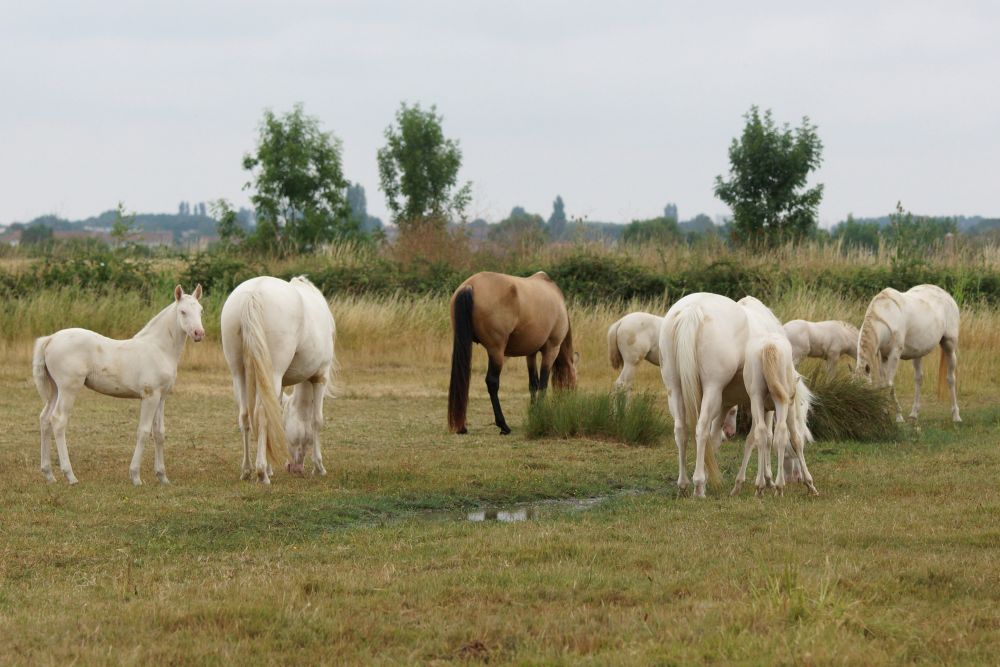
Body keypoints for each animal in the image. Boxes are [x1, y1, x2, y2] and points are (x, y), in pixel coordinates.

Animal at [32, 284, 205, 485]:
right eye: (183, 311)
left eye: (201, 310)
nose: (199, 333)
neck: (159, 349)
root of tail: (50, 339)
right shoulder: (150, 396)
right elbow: (144, 432)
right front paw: (136, 476)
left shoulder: (161, 397)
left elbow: (159, 433)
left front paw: (162, 477)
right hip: (68, 389)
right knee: (58, 420)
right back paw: (70, 476)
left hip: (55, 389)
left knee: (45, 419)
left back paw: (49, 474)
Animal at [221, 276, 336, 483]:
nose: (294, 467)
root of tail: (254, 293)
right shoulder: (320, 377)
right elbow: (316, 420)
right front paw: (319, 467)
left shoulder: (279, 384)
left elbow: (276, 415)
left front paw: (270, 468)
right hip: (272, 372)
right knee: (262, 415)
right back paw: (261, 474)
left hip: (240, 374)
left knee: (245, 416)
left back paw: (247, 470)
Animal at [448, 271, 577, 435]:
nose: (571, 404)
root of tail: (470, 285)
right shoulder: (551, 350)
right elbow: (543, 384)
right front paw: (540, 414)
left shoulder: (531, 353)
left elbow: (533, 384)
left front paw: (533, 413)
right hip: (496, 351)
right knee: (492, 383)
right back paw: (503, 425)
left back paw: (462, 427)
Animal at [660, 293, 815, 497]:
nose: (795, 477)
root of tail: (692, 310)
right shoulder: (768, 405)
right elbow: (768, 437)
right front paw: (768, 480)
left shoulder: (725, 404)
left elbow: (715, 438)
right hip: (712, 388)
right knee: (701, 429)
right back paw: (698, 486)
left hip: (675, 388)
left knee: (681, 430)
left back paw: (684, 484)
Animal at [856, 284, 960, 423]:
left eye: (865, 391)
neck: (885, 315)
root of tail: (947, 295)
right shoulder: (883, 356)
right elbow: (886, 385)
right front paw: (893, 414)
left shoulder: (894, 354)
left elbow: (888, 385)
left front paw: (891, 415)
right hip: (918, 353)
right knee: (919, 379)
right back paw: (914, 414)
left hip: (949, 346)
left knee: (951, 378)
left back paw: (956, 416)